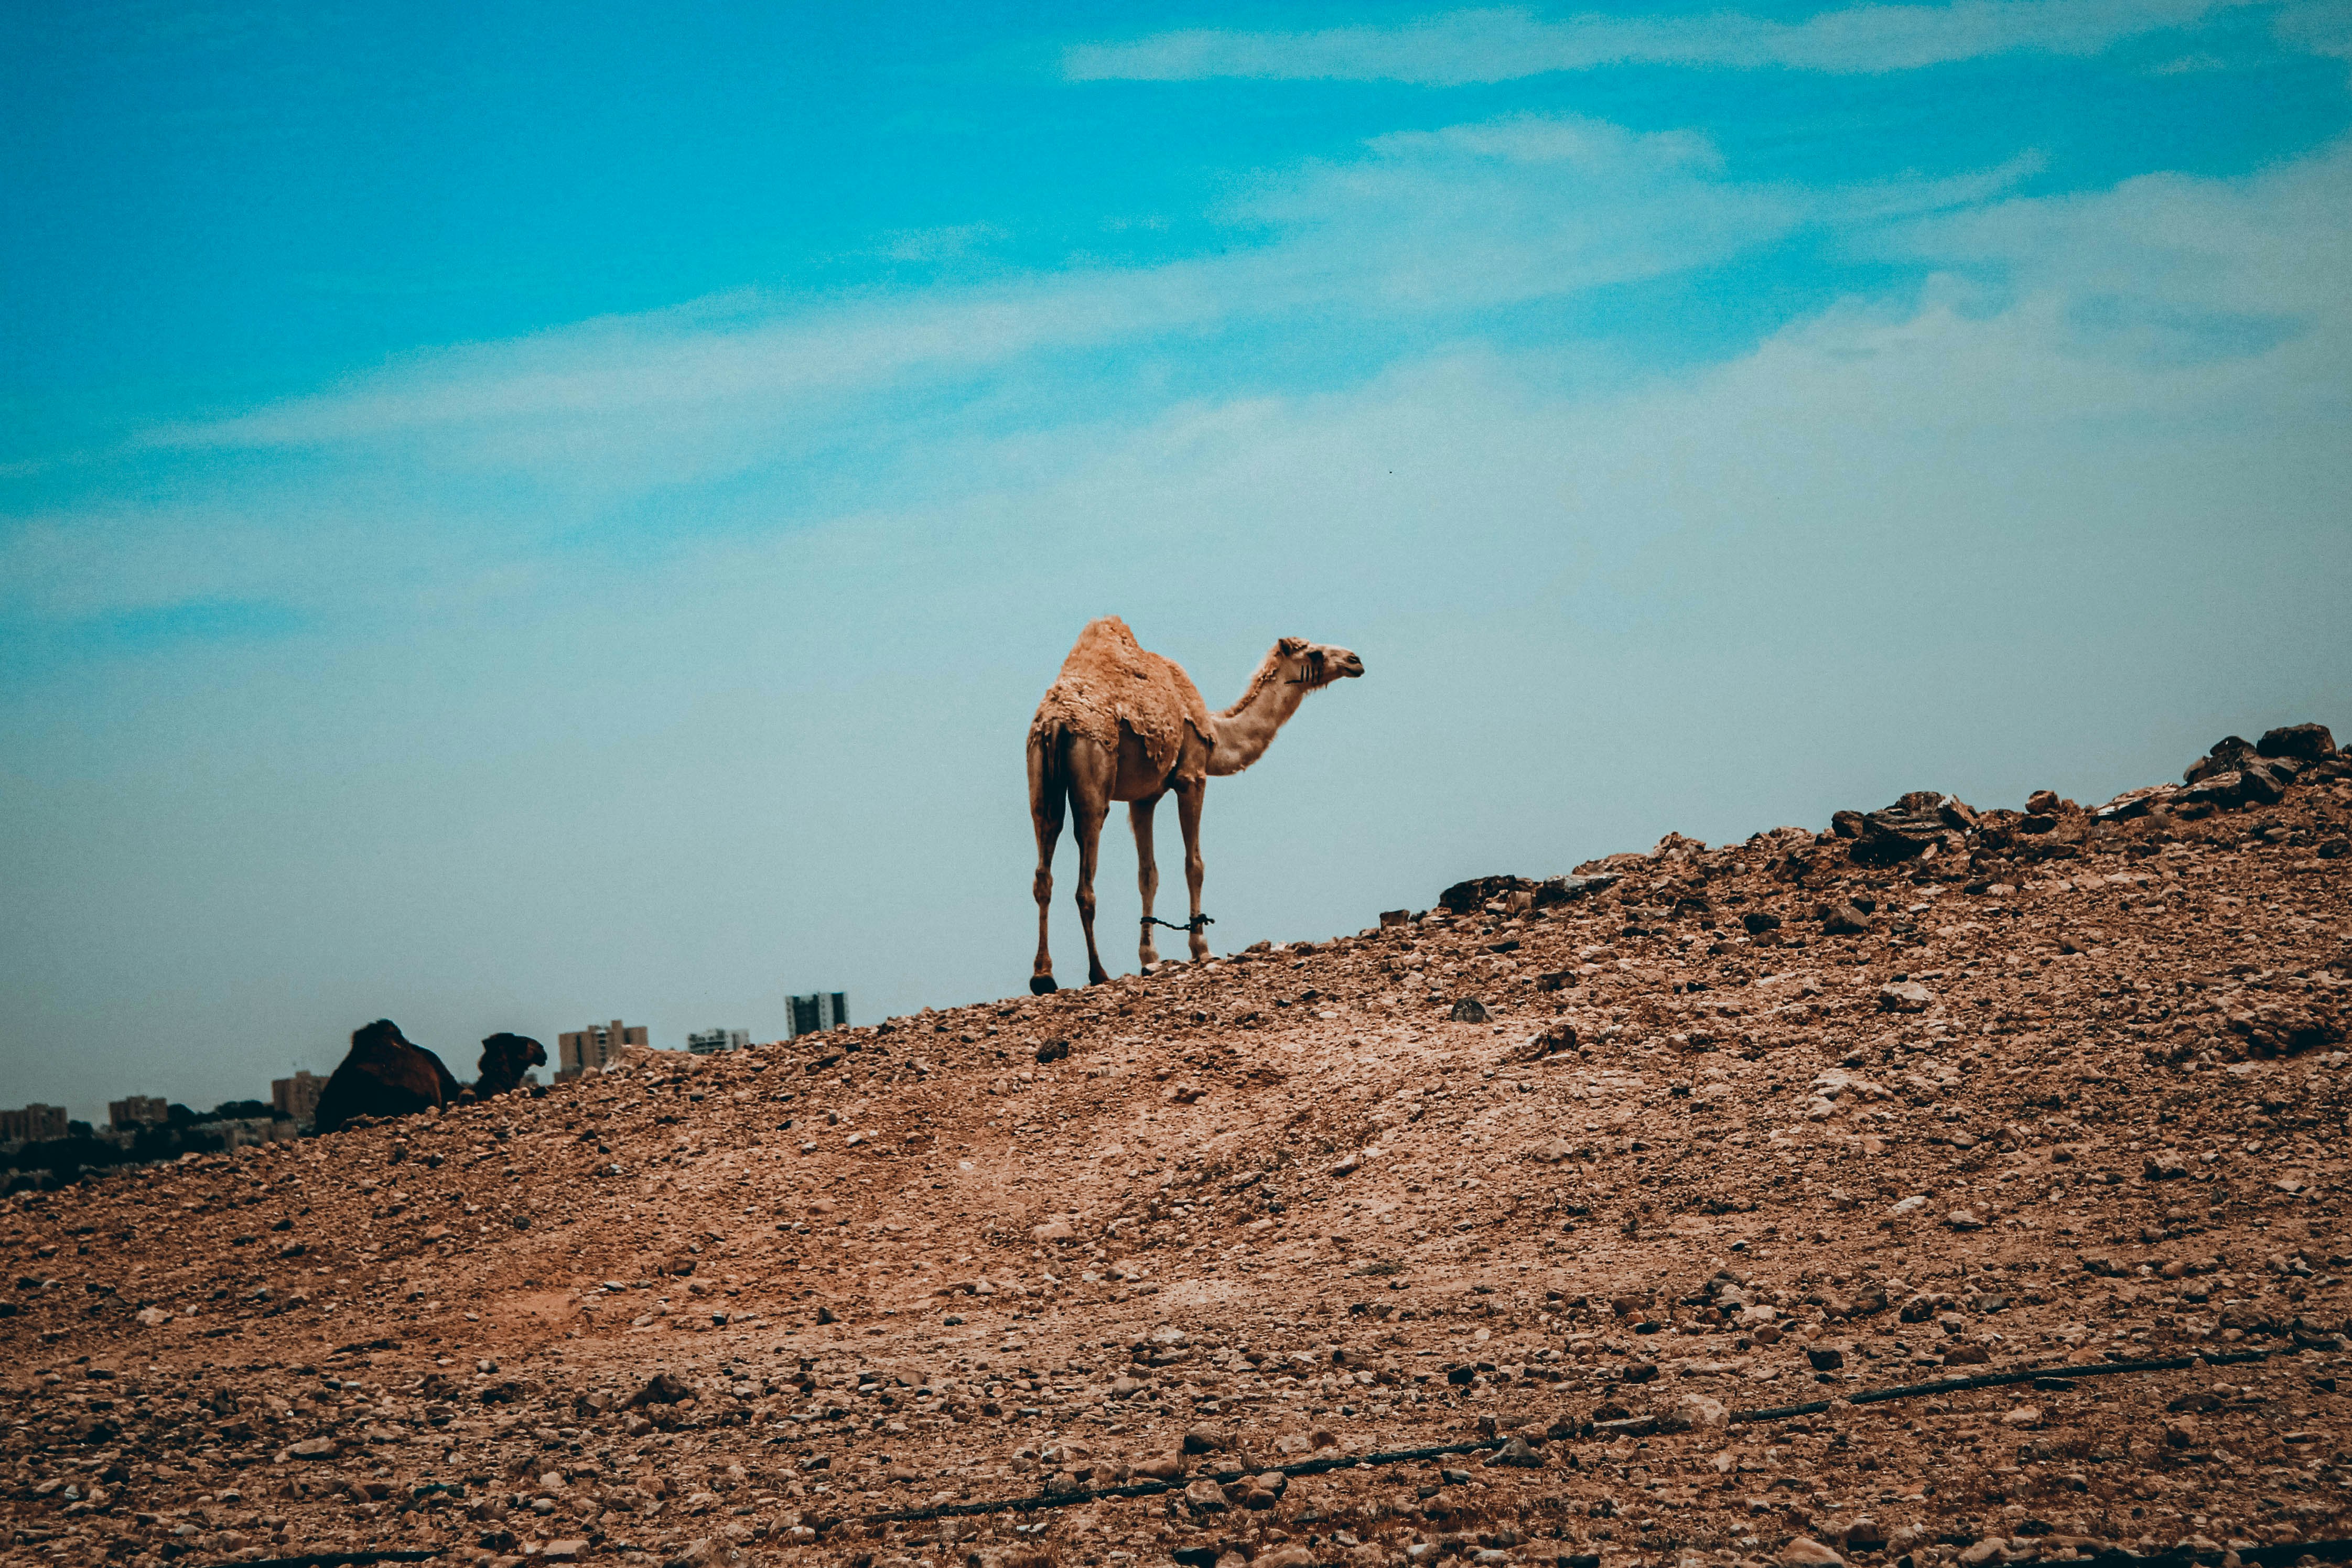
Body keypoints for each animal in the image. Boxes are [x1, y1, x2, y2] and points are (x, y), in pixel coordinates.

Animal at [1027, 617, 1364, 993]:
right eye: (1316, 653)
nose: (1355, 661)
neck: (1218, 731)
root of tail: (1057, 721)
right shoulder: (1192, 775)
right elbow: (1195, 864)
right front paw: (1201, 948)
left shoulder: (1143, 797)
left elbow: (1148, 874)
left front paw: (1149, 957)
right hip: (1093, 779)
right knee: (1085, 878)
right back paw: (1098, 972)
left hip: (1039, 778)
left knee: (1044, 865)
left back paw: (1043, 975)